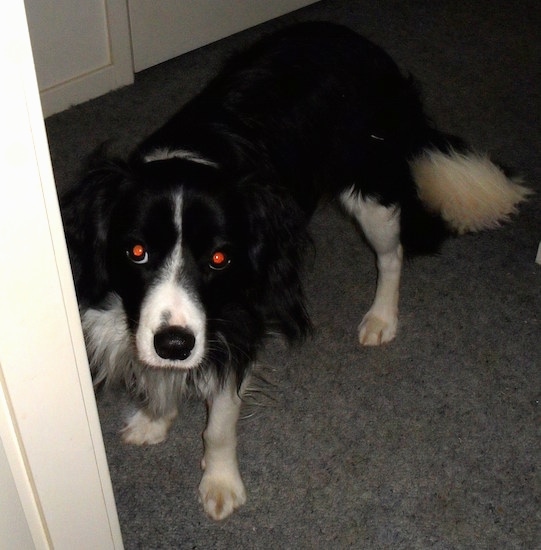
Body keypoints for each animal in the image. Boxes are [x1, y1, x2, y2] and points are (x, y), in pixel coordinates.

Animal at [60, 21, 528, 520]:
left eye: (220, 259)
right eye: (136, 251)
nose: (174, 345)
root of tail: (361, 43)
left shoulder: (239, 318)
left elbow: (219, 424)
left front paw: (219, 482)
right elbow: (155, 375)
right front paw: (154, 421)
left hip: (370, 189)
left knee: (391, 254)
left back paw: (382, 318)